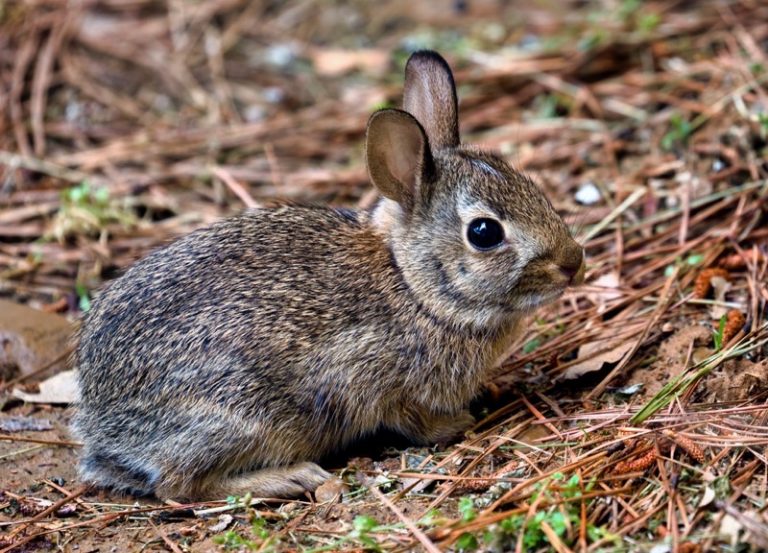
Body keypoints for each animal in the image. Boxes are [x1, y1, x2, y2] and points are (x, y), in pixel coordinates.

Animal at [72, 50, 585, 500]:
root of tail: (101, 424)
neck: (412, 285)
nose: (573, 262)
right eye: (484, 232)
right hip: (237, 417)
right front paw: (460, 423)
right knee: (178, 487)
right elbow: (412, 420)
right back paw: (288, 478)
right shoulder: (373, 378)